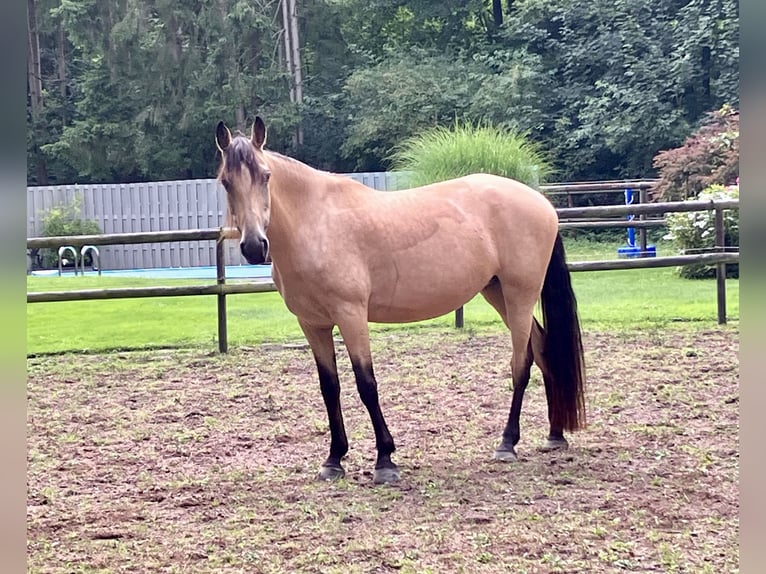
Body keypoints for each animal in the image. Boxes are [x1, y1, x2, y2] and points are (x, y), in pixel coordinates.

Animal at [215, 117, 586, 485]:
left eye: (266, 176)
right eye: (225, 182)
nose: (254, 246)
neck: (316, 222)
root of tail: (541, 202)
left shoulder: (351, 315)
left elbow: (366, 384)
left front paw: (385, 460)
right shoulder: (313, 324)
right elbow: (329, 387)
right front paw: (334, 459)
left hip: (519, 295)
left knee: (521, 363)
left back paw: (507, 443)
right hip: (498, 293)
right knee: (543, 350)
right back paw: (554, 435)